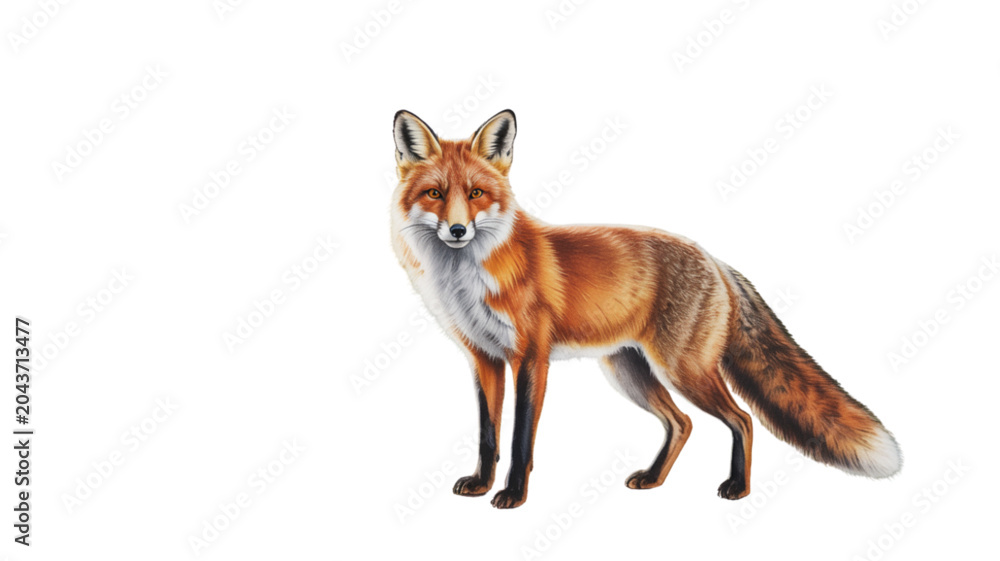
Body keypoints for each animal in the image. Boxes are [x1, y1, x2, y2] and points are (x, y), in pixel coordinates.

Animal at [389, 108, 901, 509]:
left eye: (476, 194)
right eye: (435, 194)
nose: (457, 230)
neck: (466, 277)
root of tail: (717, 261)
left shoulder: (531, 358)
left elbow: (519, 441)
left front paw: (513, 495)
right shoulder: (484, 359)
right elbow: (488, 435)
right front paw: (481, 484)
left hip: (682, 370)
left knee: (742, 419)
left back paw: (737, 487)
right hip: (630, 373)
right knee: (683, 423)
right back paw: (654, 479)